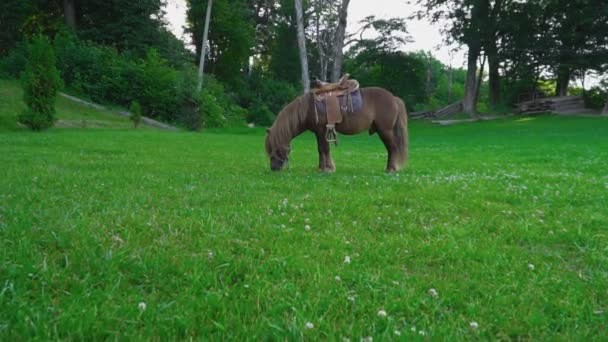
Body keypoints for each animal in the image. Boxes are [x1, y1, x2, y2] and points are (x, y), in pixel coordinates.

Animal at [264, 87, 408, 172]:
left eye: (275, 149)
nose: (274, 168)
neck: (309, 107)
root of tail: (394, 98)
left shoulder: (322, 130)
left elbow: (324, 149)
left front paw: (328, 168)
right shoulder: (318, 132)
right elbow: (320, 149)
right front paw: (321, 167)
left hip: (385, 131)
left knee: (392, 148)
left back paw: (390, 169)